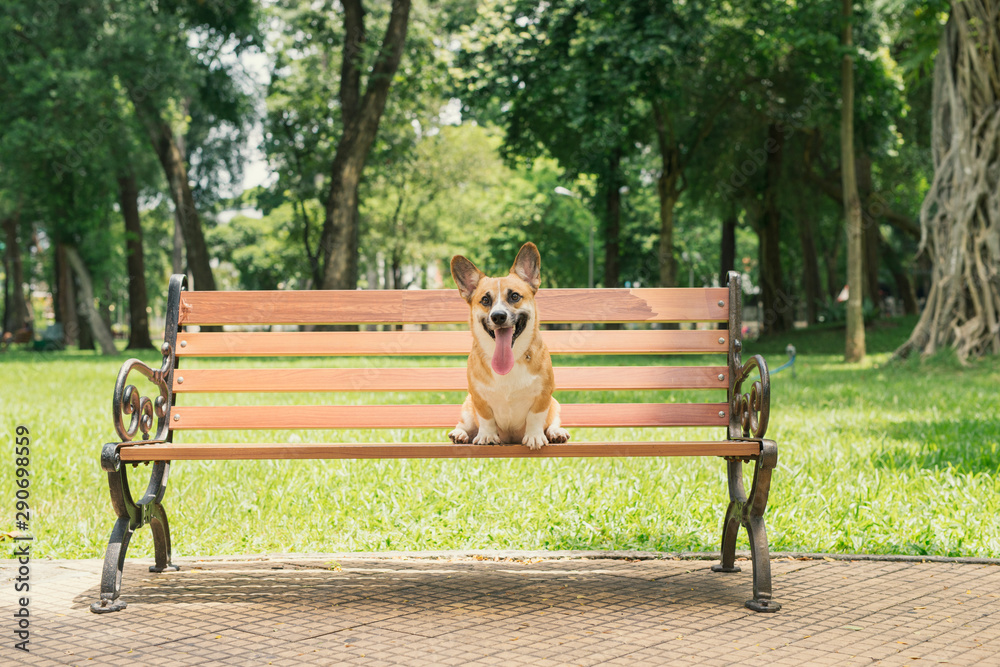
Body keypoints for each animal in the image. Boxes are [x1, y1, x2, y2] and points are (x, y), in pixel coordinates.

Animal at [448, 243, 572, 452]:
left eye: (514, 296)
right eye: (485, 300)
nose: (498, 316)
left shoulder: (544, 395)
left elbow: (535, 417)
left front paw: (534, 436)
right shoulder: (478, 398)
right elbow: (486, 418)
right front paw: (487, 436)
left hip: (556, 405)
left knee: (552, 422)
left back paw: (556, 433)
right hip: (467, 406)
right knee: (466, 424)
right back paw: (460, 434)